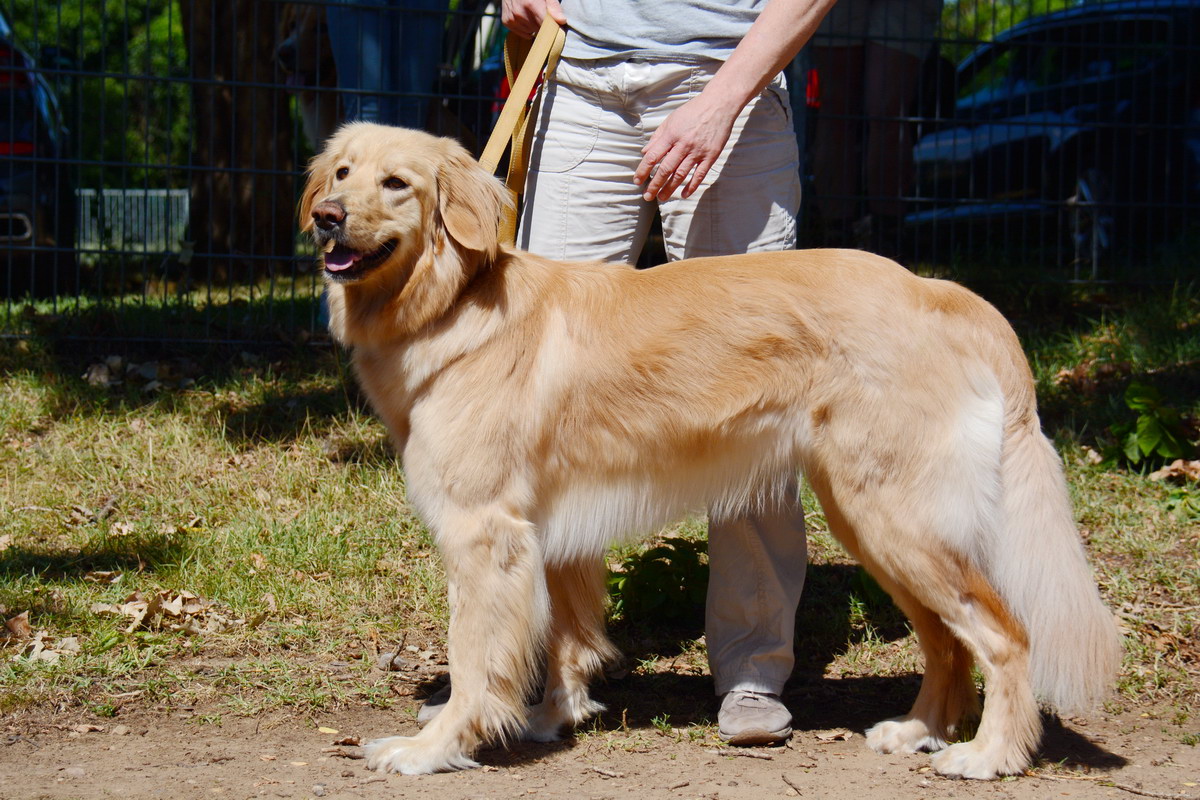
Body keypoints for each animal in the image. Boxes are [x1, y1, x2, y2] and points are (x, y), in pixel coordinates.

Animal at [302, 122, 1123, 777]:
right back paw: (918, 729)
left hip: (898, 519)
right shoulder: (546, 532)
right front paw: (553, 718)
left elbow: (474, 663)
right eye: (342, 172)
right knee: (947, 642)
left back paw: (990, 755)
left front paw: (435, 746)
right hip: (873, 523)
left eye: (397, 183)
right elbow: (566, 638)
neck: (455, 307)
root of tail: (937, 291)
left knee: (1006, 636)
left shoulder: (484, 533)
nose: (324, 218)